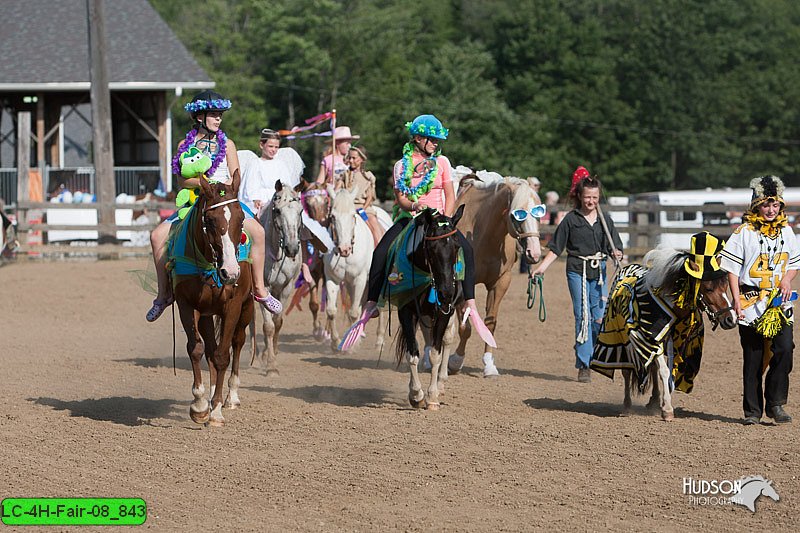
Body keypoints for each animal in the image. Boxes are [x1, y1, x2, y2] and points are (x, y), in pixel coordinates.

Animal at [169, 177, 253, 426]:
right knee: (210, 351)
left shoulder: (232, 307)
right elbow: (196, 349)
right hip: (207, 314)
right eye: (210, 220)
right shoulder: (187, 305)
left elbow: (223, 355)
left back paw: (231, 397)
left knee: (237, 342)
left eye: (241, 218)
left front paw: (215, 412)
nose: (231, 272)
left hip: (247, 309)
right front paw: (199, 405)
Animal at [444, 175, 544, 374]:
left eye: (538, 212)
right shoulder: (462, 285)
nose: (534, 253)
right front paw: (455, 361)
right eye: (517, 215)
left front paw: (489, 364)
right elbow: (465, 327)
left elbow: (490, 322)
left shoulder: (500, 282)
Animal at [592, 237, 736, 420]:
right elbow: (664, 371)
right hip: (626, 343)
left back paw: (653, 400)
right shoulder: (651, 338)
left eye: (725, 286)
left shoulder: (669, 342)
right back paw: (627, 405)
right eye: (709, 288)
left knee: (651, 368)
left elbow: (663, 371)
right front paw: (667, 409)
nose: (731, 319)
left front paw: (662, 403)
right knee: (627, 371)